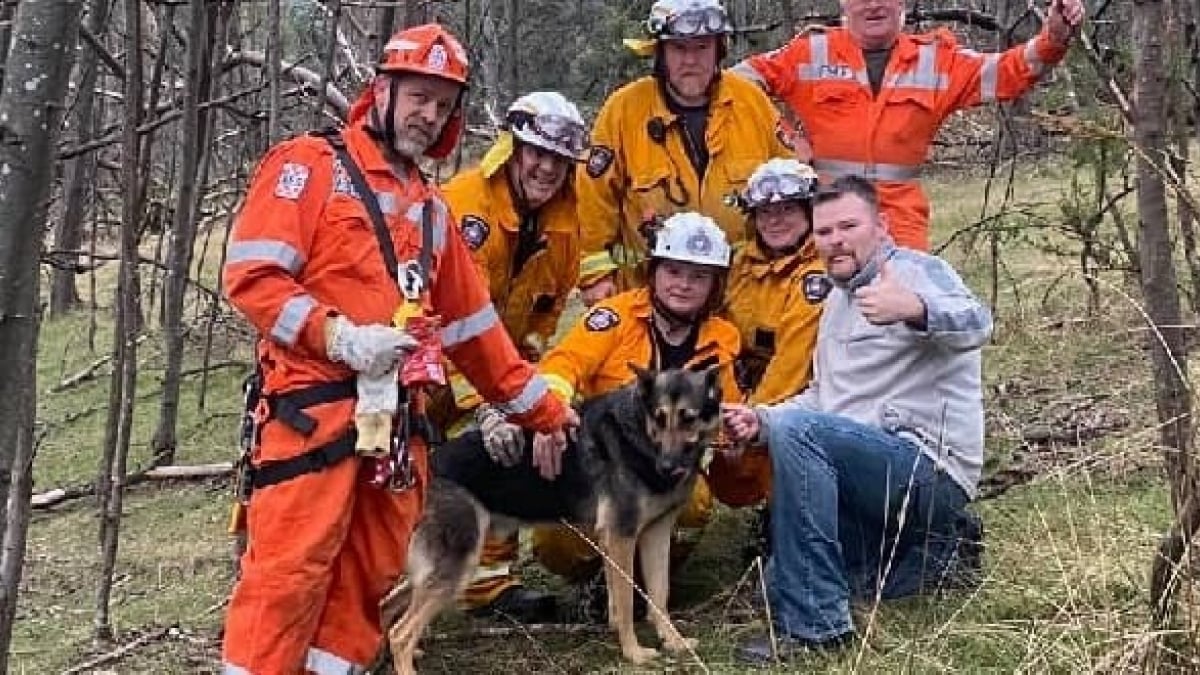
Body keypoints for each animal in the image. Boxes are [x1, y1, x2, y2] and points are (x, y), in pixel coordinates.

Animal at [381, 365, 720, 667]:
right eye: (658, 418)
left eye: (689, 418)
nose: (668, 467)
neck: (636, 431)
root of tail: (421, 471)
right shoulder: (621, 537)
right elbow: (625, 602)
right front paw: (634, 653)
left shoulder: (655, 535)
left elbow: (659, 596)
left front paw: (673, 642)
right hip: (458, 564)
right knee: (400, 634)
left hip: (439, 567)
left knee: (386, 609)